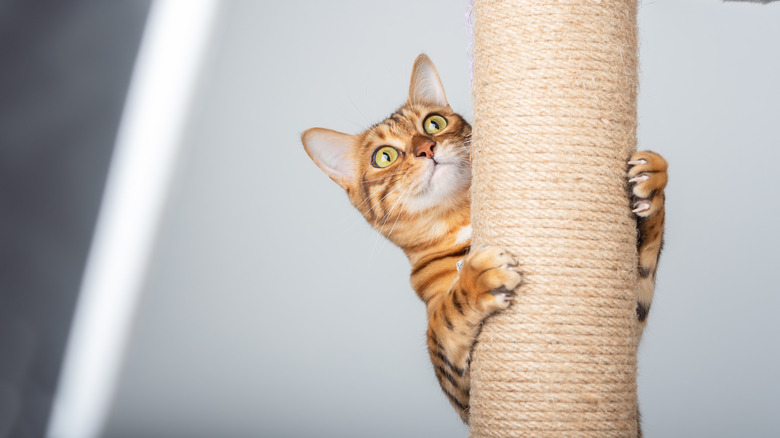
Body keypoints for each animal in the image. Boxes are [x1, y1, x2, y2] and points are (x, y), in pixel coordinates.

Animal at [302, 53, 668, 422]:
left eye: (433, 123)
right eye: (384, 156)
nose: (426, 148)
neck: (461, 221)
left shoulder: (630, 322)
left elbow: (647, 262)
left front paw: (652, 181)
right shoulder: (462, 391)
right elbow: (445, 318)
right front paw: (478, 278)